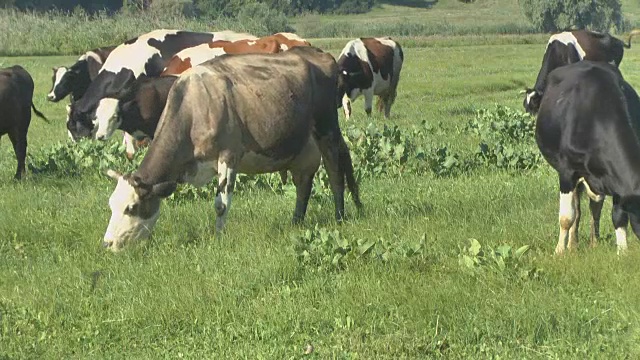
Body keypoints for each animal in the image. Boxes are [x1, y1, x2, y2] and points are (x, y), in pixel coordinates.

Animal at [100, 46, 360, 250]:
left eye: (131, 208)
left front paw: (218, 238)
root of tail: (318, 53)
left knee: (335, 171)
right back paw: (296, 222)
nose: (107, 243)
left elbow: (220, 204)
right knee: (304, 183)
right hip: (303, 146)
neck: (194, 108)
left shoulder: (228, 155)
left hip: (327, 128)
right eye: (111, 205)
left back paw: (340, 217)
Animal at [536, 60, 640, 255]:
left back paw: (594, 242)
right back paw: (572, 245)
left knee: (594, 208)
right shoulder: (567, 172)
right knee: (576, 209)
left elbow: (618, 217)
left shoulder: (617, 181)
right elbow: (566, 217)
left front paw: (622, 252)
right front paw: (559, 252)